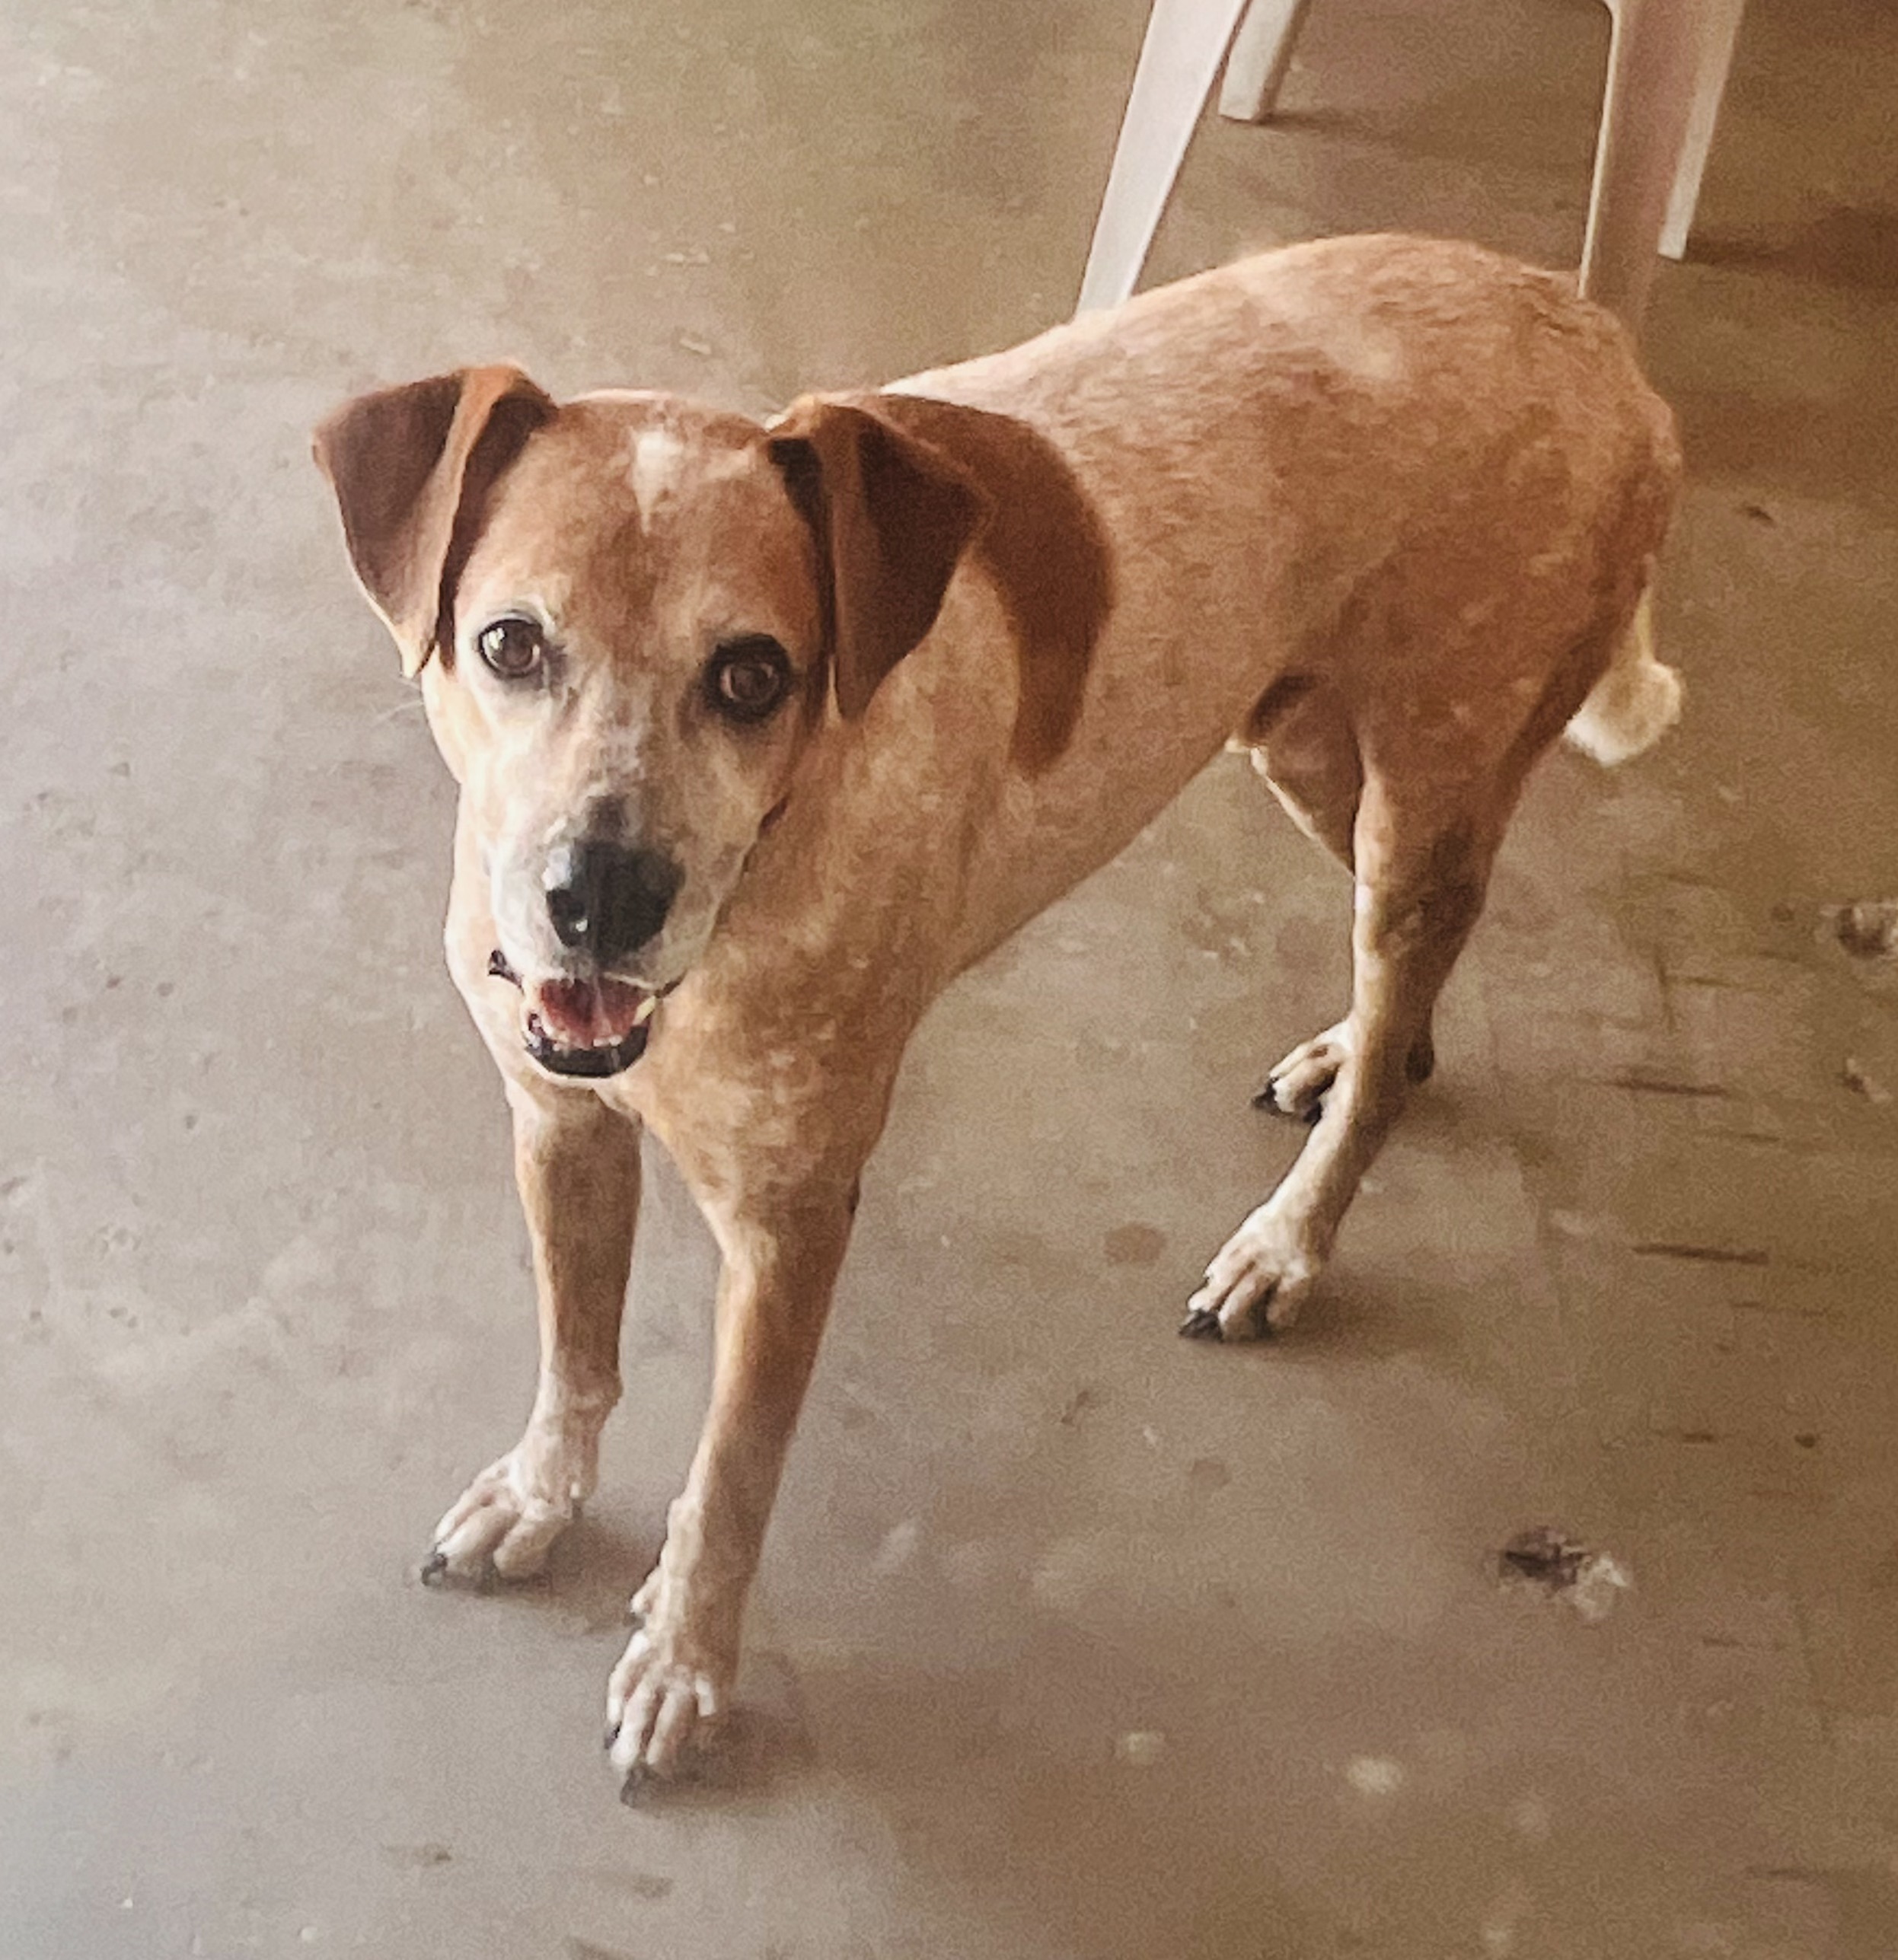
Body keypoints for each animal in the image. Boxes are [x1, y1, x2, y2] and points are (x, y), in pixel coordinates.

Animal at [311, 229, 1678, 1795]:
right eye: (509, 644)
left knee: (1399, 1021)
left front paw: (684, 1664)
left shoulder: (788, 1231)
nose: (598, 897)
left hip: (1425, 783)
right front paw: (542, 1496)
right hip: (1305, 746)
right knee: (1409, 1005)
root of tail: (1591, 330)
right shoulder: (558, 1122)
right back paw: (1355, 1050)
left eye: (752, 675)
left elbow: (729, 1481)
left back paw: (1283, 1244)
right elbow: (572, 1358)